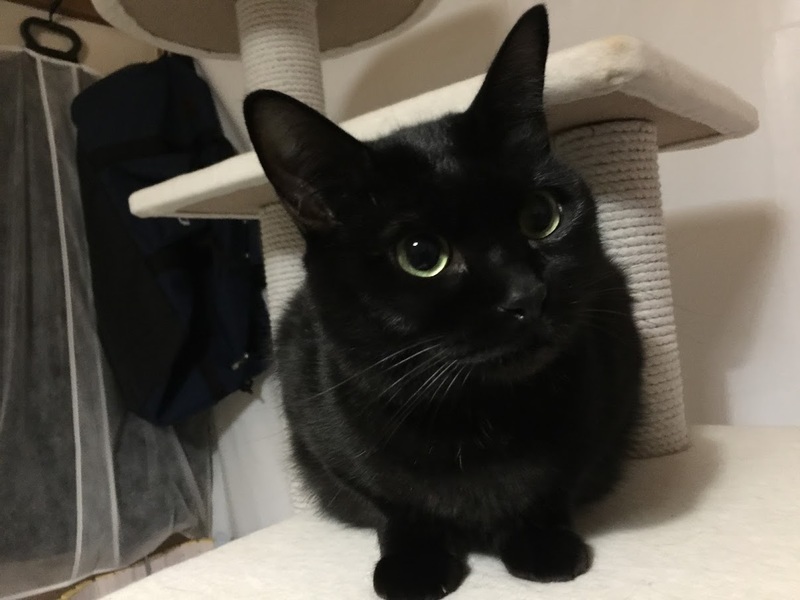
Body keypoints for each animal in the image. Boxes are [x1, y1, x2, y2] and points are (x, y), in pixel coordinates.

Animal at [243, 5, 642, 600]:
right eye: (421, 255)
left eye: (541, 216)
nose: (527, 294)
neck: (475, 419)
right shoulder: (320, 431)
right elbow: (391, 504)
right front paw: (415, 564)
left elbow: (555, 485)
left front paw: (541, 543)